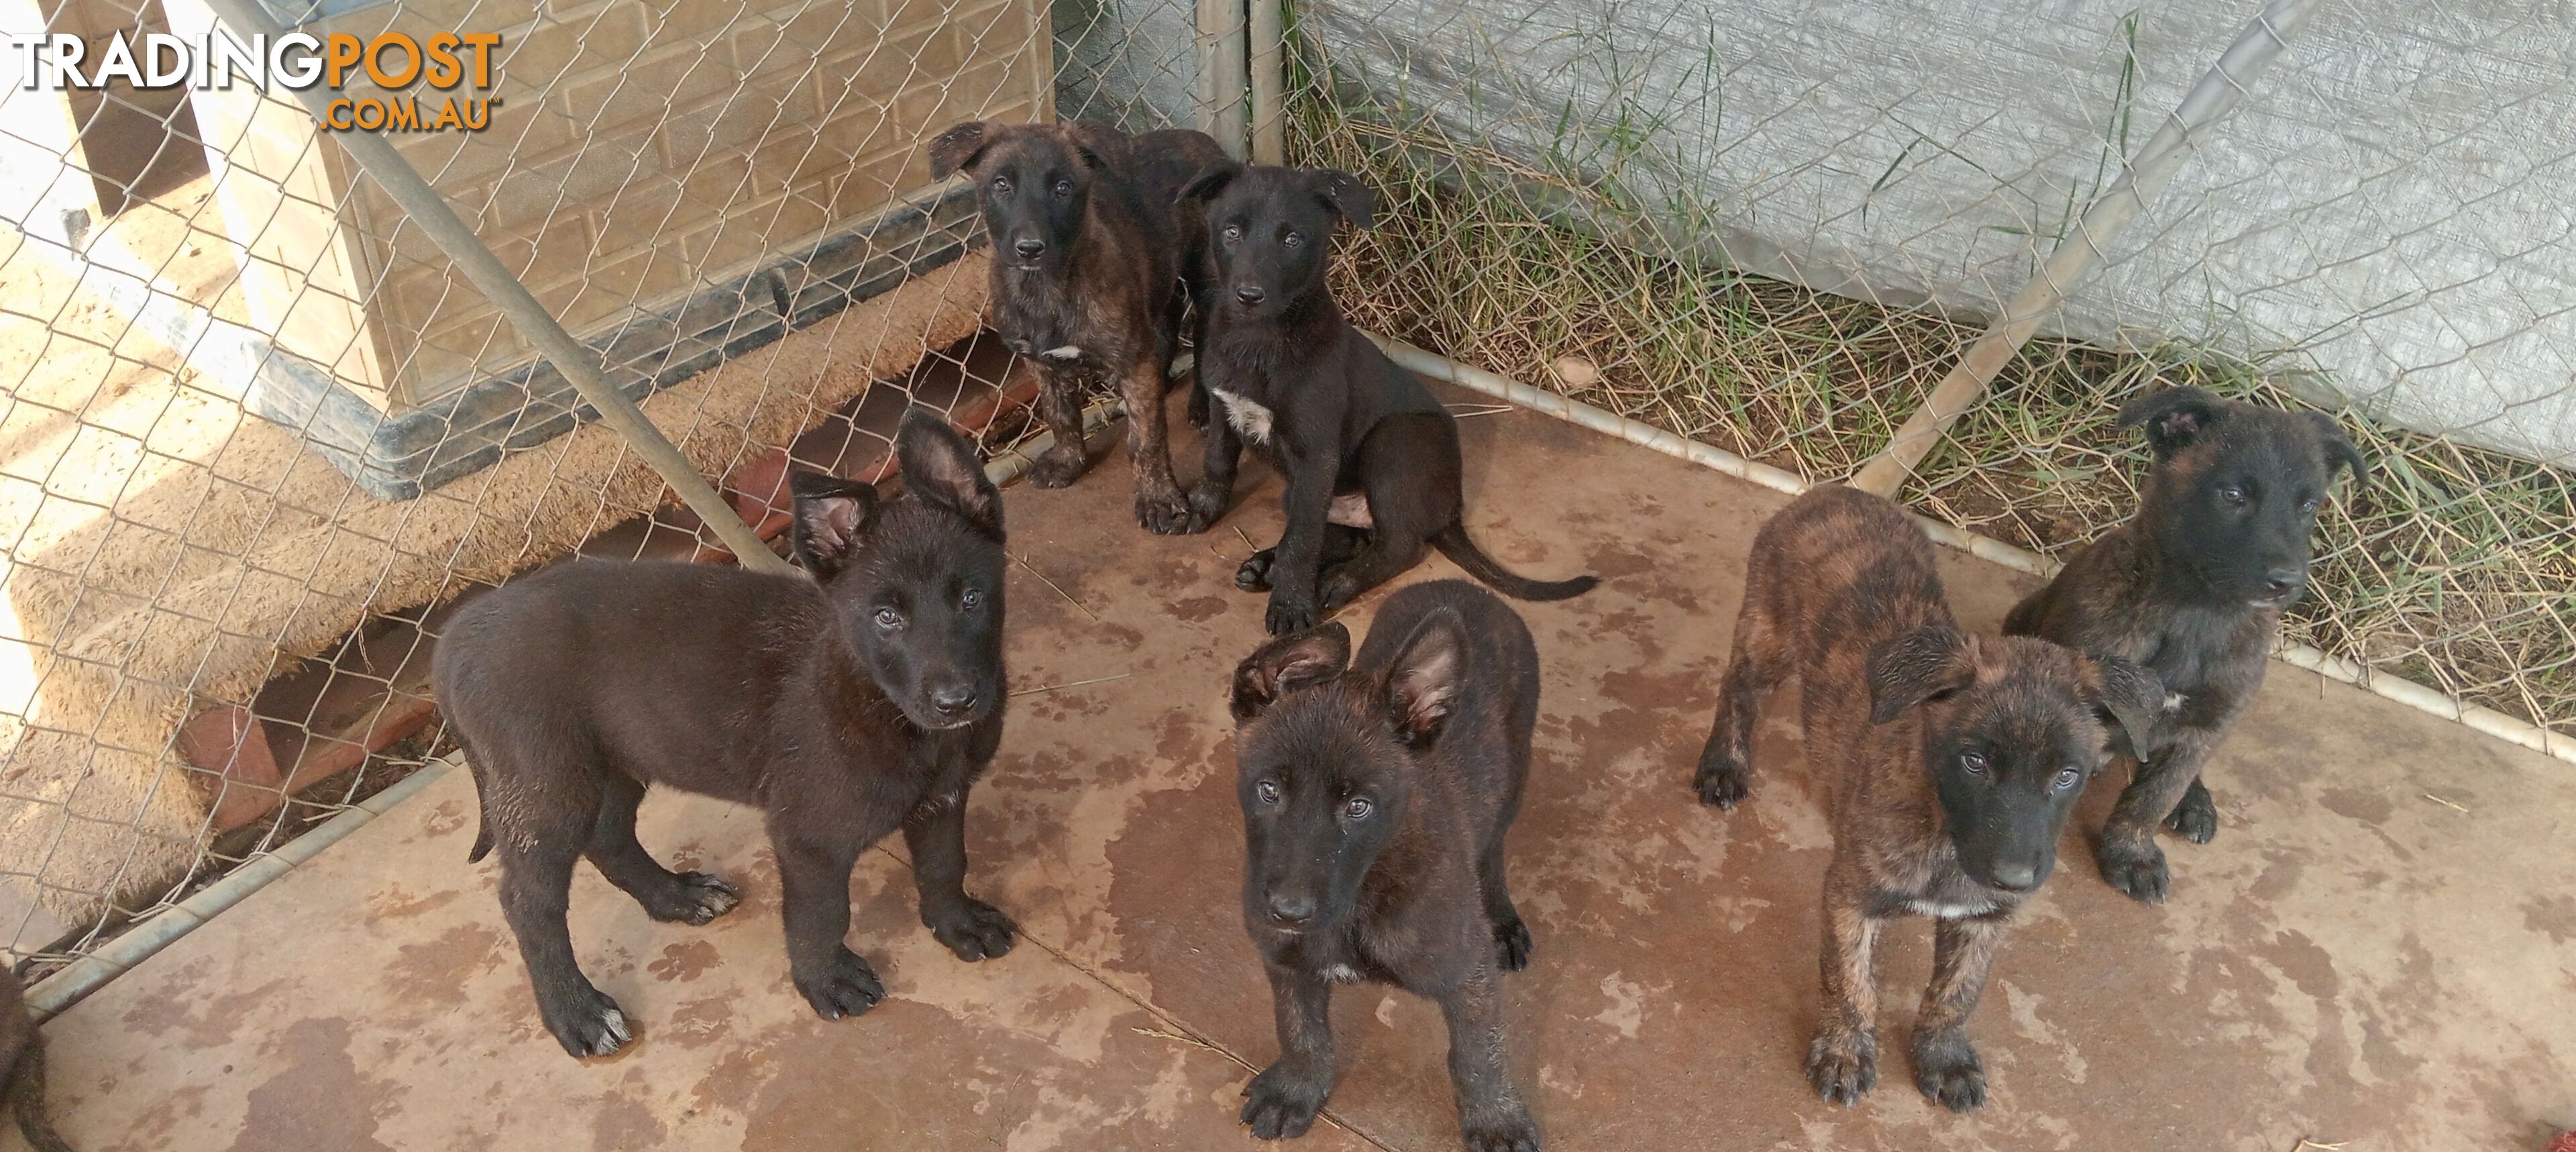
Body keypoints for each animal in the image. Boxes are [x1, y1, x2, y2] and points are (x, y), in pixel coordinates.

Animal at [1175, 162, 1587, 636]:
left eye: (1293, 239)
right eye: (1231, 232)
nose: (1249, 296)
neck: (1259, 341)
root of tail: (1450, 510)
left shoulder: (1316, 455)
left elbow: (1301, 540)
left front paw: (1292, 604)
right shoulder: (1225, 407)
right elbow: (1218, 464)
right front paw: (1202, 510)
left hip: (1395, 444)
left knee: (1397, 545)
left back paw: (1334, 582)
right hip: (1310, 490)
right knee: (1348, 536)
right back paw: (1267, 566)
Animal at [1700, 484, 2163, 1108]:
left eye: (2069, 774)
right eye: (1974, 761)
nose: (2015, 877)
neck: (1943, 826)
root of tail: (1837, 491)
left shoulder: (1983, 918)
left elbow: (1956, 992)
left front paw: (1943, 1057)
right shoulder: (1850, 897)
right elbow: (1849, 981)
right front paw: (1845, 1052)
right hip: (1767, 635)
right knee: (1738, 687)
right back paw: (1723, 763)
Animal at [1998, 386, 2359, 902]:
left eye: (2309, 505)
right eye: (2232, 495)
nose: (2287, 582)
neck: (2197, 613)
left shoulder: (2210, 719)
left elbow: (2153, 796)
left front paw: (2131, 852)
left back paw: (2195, 799)